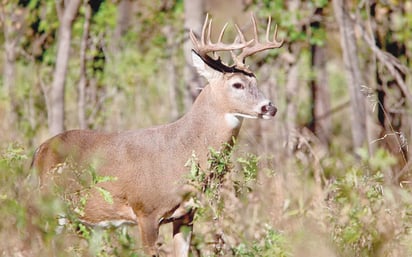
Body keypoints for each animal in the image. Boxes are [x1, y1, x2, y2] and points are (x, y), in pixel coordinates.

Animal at [31, 13, 284, 254]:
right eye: (237, 85)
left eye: (255, 80)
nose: (270, 108)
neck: (181, 151)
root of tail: (40, 150)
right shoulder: (146, 211)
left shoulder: (186, 215)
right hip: (50, 204)